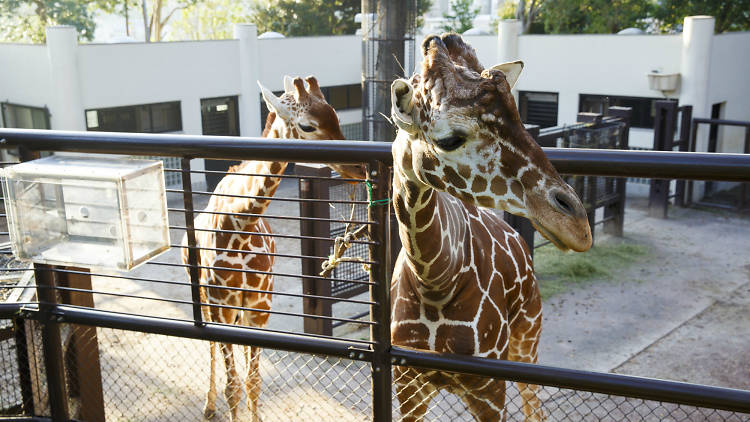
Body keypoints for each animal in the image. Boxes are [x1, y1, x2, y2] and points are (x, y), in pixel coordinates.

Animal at [184, 74, 368, 420]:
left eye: (336, 116)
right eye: (308, 126)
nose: (360, 169)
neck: (239, 226)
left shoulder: (260, 306)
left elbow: (253, 382)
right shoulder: (222, 306)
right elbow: (233, 387)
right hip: (203, 294)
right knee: (211, 348)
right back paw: (208, 404)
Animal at [388, 33, 592, 422]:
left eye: (521, 119)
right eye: (449, 139)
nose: (577, 224)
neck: (435, 280)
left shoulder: (489, 387)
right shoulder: (407, 385)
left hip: (527, 339)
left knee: (535, 409)